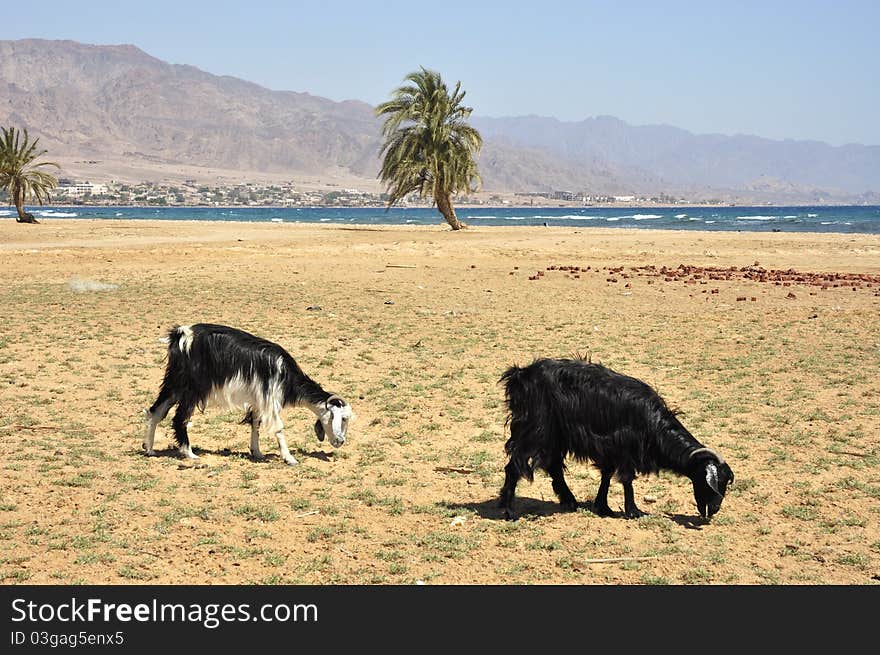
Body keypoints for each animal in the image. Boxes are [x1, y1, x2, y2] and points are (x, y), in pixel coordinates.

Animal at [144, 326, 350, 464]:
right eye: (343, 418)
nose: (341, 441)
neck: (286, 374)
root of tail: (182, 334)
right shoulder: (269, 398)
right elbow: (278, 428)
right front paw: (289, 458)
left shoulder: (259, 400)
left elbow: (255, 425)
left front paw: (256, 452)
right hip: (192, 388)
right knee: (179, 418)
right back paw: (189, 453)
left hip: (175, 382)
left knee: (156, 411)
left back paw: (149, 449)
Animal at [498, 358, 732, 524]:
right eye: (716, 482)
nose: (715, 510)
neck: (653, 424)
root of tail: (520, 374)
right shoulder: (625, 449)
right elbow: (627, 480)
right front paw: (634, 511)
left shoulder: (611, 451)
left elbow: (607, 476)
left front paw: (603, 506)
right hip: (535, 432)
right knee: (514, 467)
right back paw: (508, 510)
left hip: (555, 437)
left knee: (554, 467)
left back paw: (569, 501)